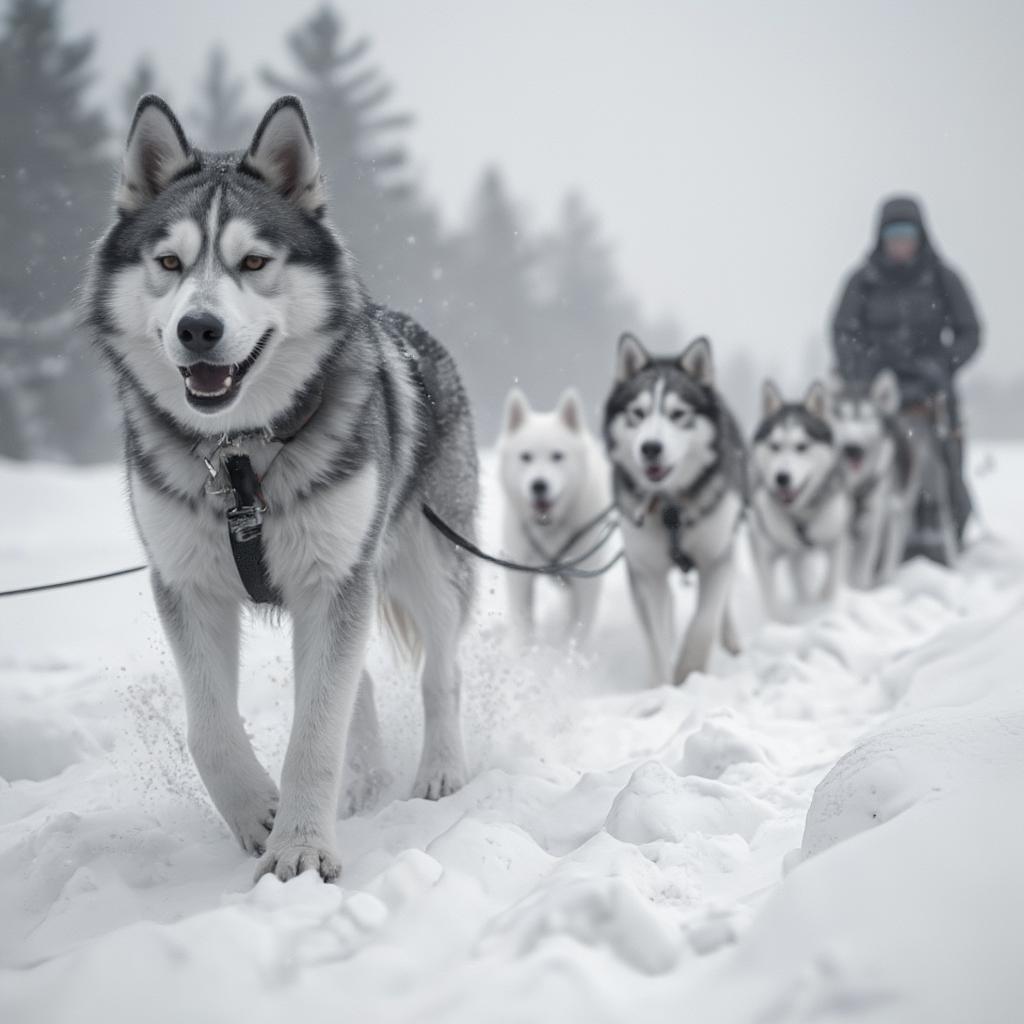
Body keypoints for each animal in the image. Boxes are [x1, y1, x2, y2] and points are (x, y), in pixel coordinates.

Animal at [86, 94, 477, 880]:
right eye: (168, 262)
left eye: (254, 262)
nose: (198, 328)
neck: (238, 455)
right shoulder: (186, 585)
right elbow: (209, 729)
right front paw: (257, 813)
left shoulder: (335, 580)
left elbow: (316, 731)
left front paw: (300, 848)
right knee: (359, 685)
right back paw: (363, 781)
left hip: (426, 561)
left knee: (439, 671)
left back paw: (439, 771)